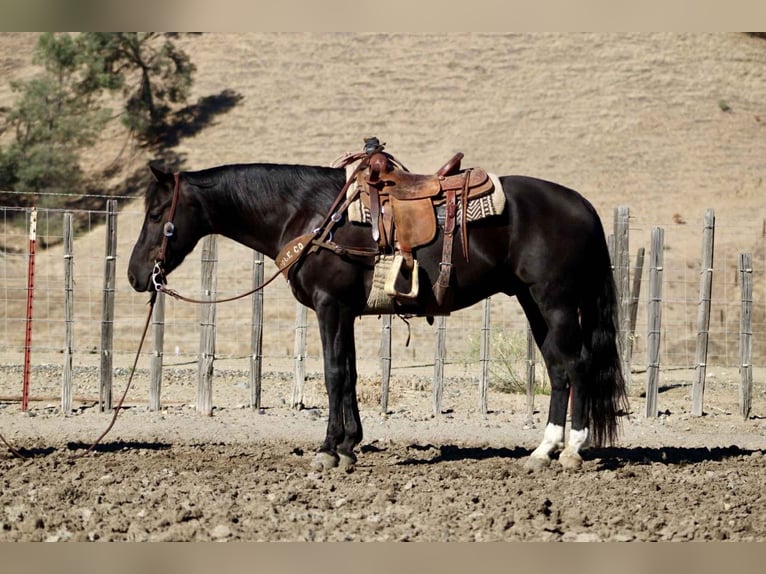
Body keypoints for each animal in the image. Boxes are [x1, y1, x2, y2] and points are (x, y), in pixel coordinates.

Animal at [127, 154, 628, 472]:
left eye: (155, 214)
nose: (135, 276)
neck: (311, 215)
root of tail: (583, 205)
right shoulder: (345, 312)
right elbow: (347, 373)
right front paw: (350, 445)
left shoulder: (329, 307)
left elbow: (333, 374)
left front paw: (328, 450)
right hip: (532, 301)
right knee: (558, 368)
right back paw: (543, 450)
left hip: (555, 300)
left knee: (576, 365)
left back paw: (572, 451)